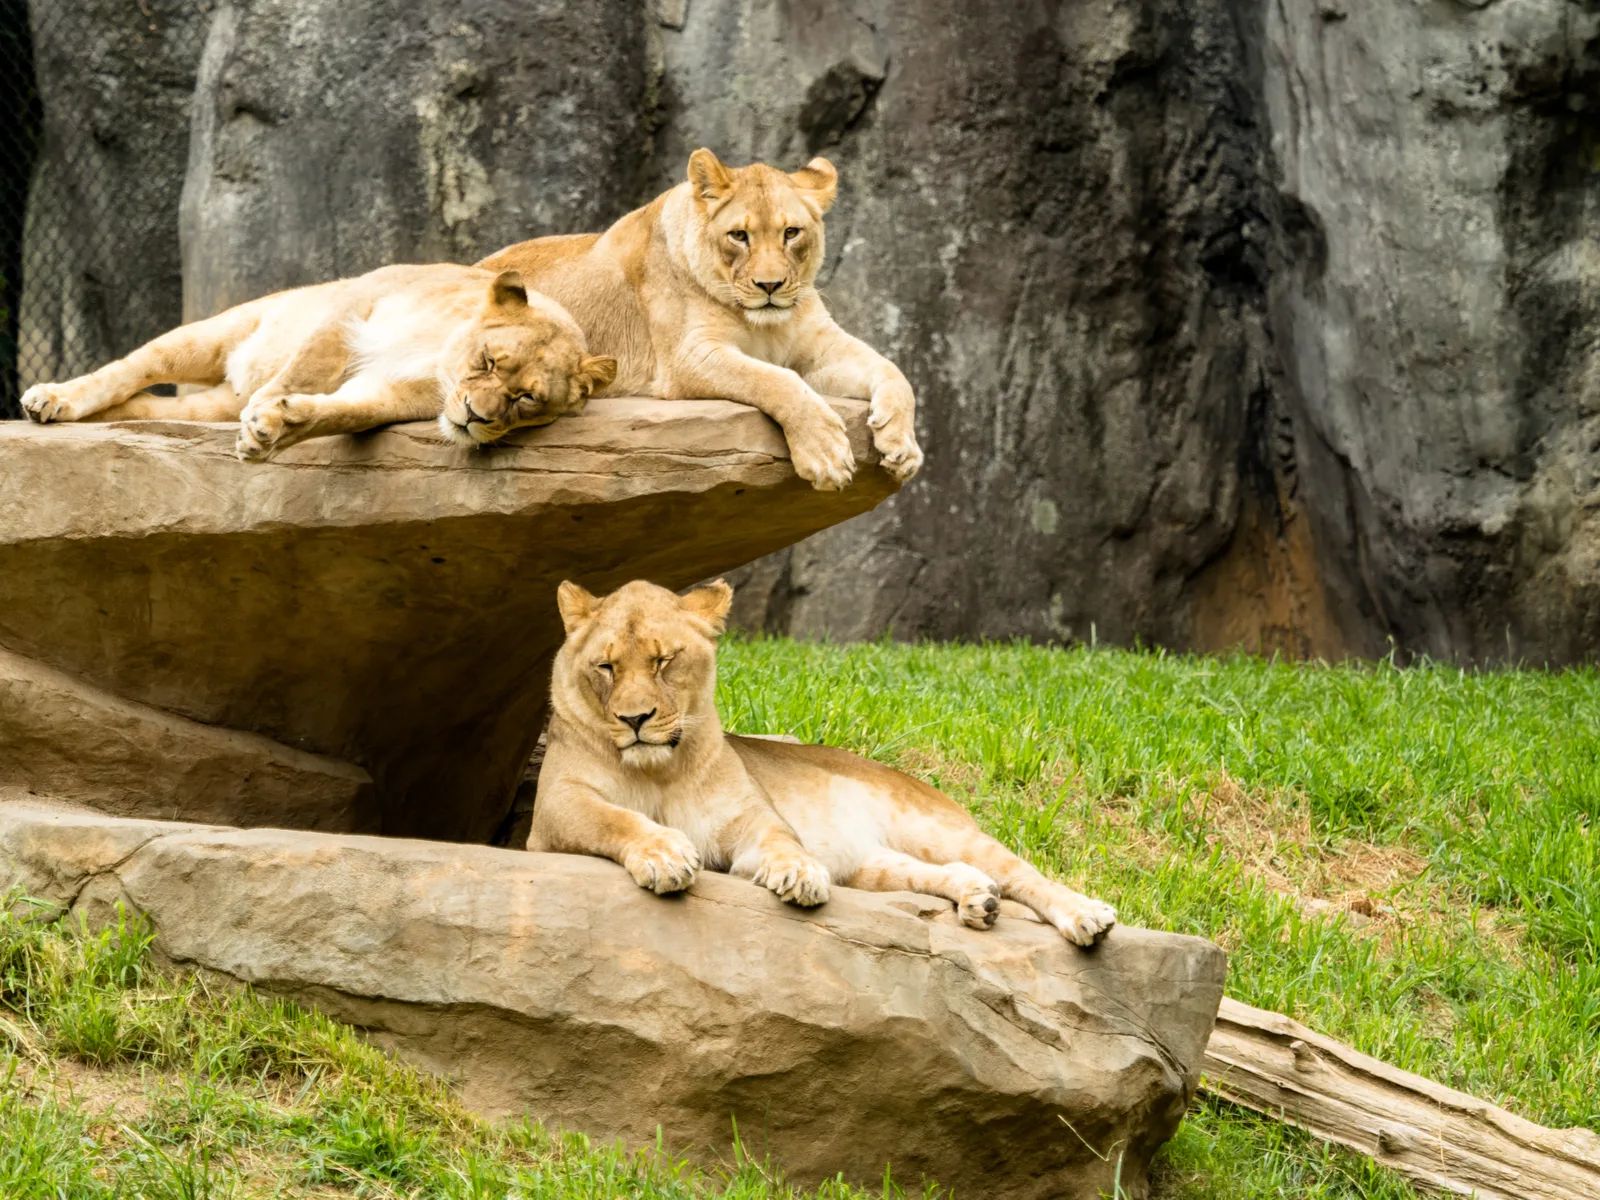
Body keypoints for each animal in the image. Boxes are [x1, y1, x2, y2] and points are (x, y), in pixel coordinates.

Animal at [18, 262, 617, 460]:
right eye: (489, 362)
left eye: (526, 399)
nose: (475, 417)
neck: (439, 356)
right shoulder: (356, 305)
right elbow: (310, 363)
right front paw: (265, 411)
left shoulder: (389, 392)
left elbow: (345, 411)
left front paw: (274, 428)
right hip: (215, 332)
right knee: (129, 370)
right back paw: (52, 397)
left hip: (204, 406)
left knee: (144, 405)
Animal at [476, 149, 928, 492]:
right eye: (739, 236)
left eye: (791, 233)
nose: (769, 285)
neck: (765, 324)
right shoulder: (687, 357)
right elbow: (776, 380)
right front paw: (825, 453)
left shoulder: (820, 347)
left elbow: (894, 371)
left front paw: (901, 443)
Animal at [531, 582, 1120, 947]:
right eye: (606, 666)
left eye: (663, 661)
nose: (634, 719)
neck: (660, 770)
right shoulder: (555, 808)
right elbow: (615, 818)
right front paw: (664, 855)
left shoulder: (749, 821)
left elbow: (780, 839)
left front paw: (798, 873)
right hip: (873, 867)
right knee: (944, 873)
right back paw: (979, 900)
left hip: (936, 828)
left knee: (1025, 876)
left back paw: (1085, 915)